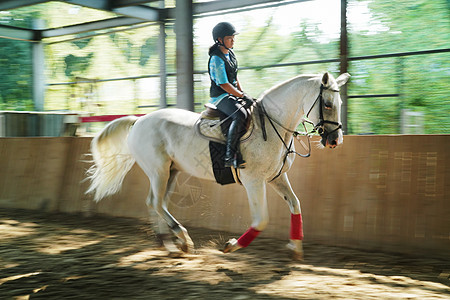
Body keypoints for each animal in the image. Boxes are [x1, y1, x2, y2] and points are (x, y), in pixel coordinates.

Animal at [86, 71, 350, 258]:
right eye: (327, 104)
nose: (335, 140)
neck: (272, 125)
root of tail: (139, 121)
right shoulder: (254, 181)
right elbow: (261, 220)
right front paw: (231, 245)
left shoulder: (276, 177)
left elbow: (295, 205)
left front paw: (295, 248)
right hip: (158, 171)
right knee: (156, 202)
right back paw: (182, 239)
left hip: (170, 172)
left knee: (156, 202)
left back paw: (170, 244)